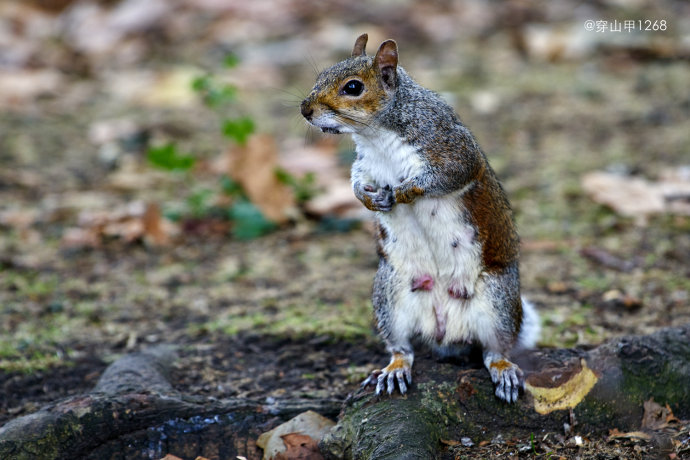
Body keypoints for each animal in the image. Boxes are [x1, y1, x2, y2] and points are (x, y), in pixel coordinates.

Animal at [300, 35, 536, 402]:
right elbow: (355, 182)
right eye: (321, 74)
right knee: (402, 348)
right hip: (390, 297)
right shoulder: (366, 164)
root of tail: (444, 332)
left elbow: (449, 174)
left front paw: (403, 192)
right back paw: (394, 370)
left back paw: (503, 370)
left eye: (353, 87)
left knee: (494, 350)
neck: (377, 134)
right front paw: (367, 198)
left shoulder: (448, 147)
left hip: (498, 300)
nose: (305, 109)